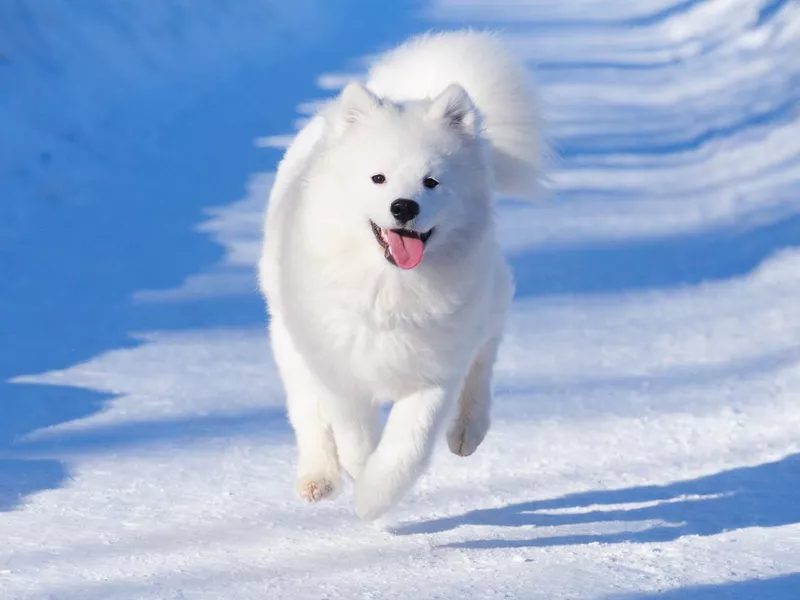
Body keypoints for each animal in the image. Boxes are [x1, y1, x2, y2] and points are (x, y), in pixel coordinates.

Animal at [260, 31, 540, 520]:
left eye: (431, 181)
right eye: (378, 178)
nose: (404, 207)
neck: (389, 288)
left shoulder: (432, 374)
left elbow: (405, 449)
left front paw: (373, 500)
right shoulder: (341, 371)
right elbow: (354, 439)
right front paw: (358, 479)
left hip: (487, 304)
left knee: (483, 358)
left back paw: (466, 431)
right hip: (288, 339)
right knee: (307, 412)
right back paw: (318, 479)